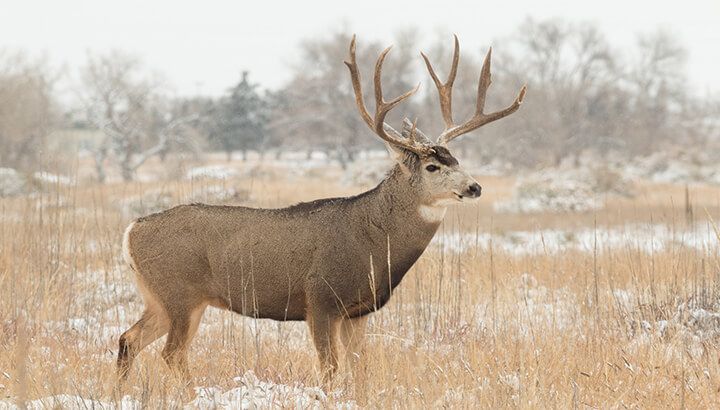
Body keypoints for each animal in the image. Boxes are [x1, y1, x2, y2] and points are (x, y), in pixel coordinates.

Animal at [116, 34, 524, 384]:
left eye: (456, 158)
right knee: (171, 353)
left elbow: (360, 370)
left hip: (159, 297)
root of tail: (132, 229)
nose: (474, 187)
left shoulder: (358, 311)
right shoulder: (321, 300)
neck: (373, 241)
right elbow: (330, 370)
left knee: (128, 339)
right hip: (181, 294)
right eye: (433, 166)